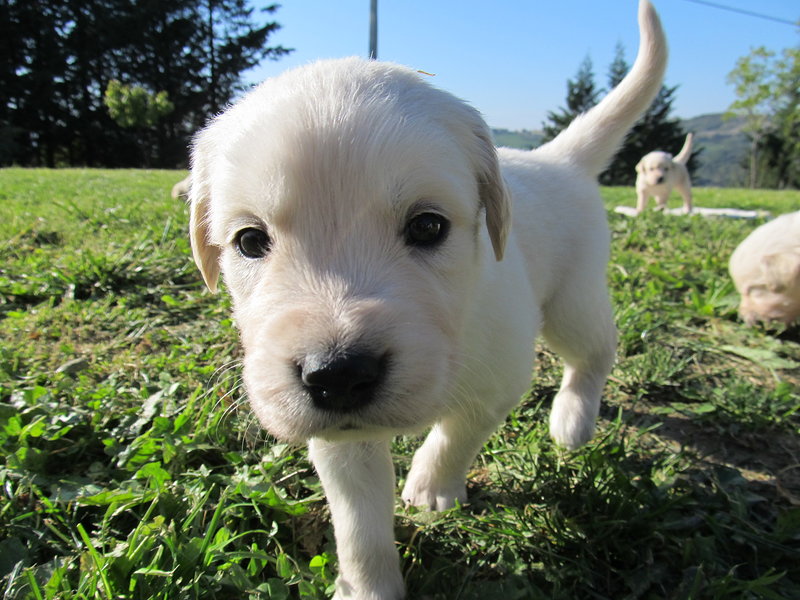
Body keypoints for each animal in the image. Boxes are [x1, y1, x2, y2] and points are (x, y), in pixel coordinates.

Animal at [188, 2, 668, 596]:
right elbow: (360, 521)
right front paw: (368, 584)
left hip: (571, 302)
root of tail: (559, 160)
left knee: (596, 351)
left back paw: (573, 419)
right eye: (250, 241)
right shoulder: (340, 436)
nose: (339, 374)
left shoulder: (497, 377)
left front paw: (431, 487)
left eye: (428, 227)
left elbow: (458, 432)